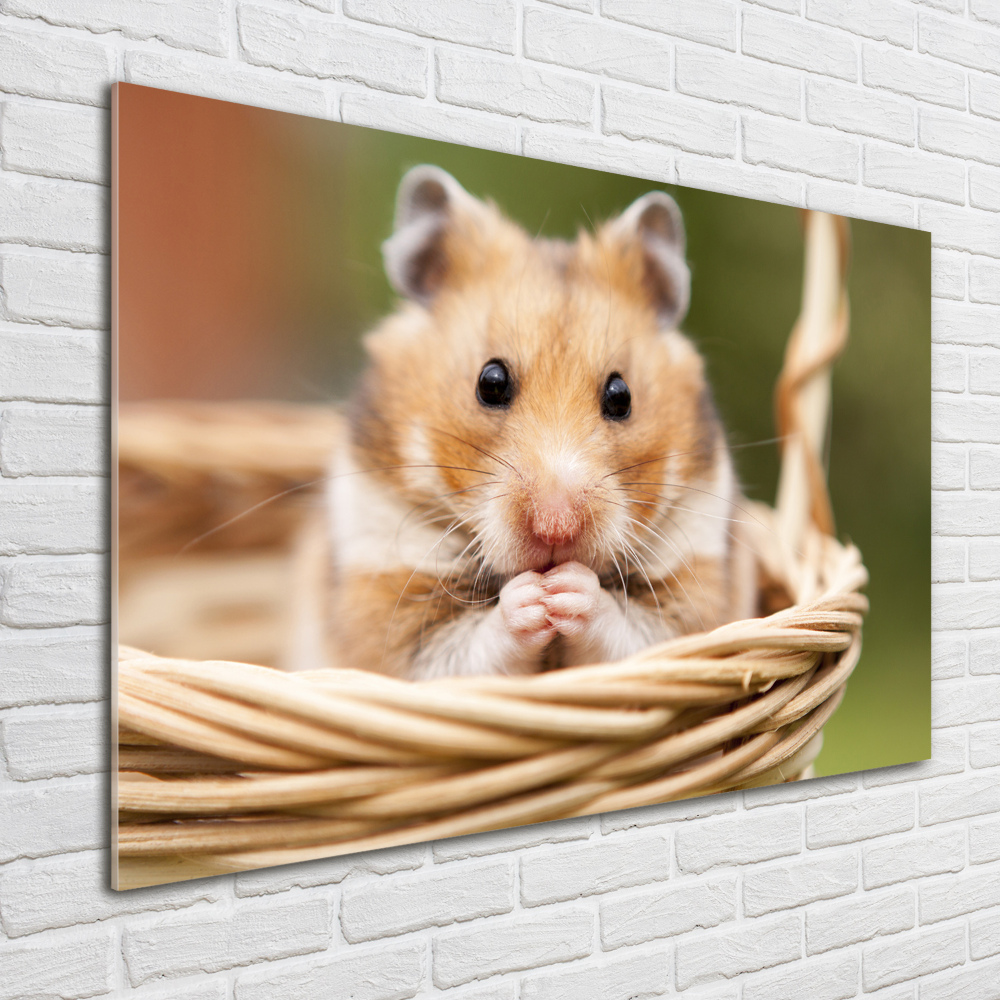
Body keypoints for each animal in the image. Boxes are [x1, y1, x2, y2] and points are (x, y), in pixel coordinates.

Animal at [300, 166, 752, 680]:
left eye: (621, 396)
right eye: (490, 382)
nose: (556, 530)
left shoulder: (695, 590)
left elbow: (635, 634)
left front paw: (568, 589)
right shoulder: (387, 601)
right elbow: (467, 648)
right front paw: (533, 598)